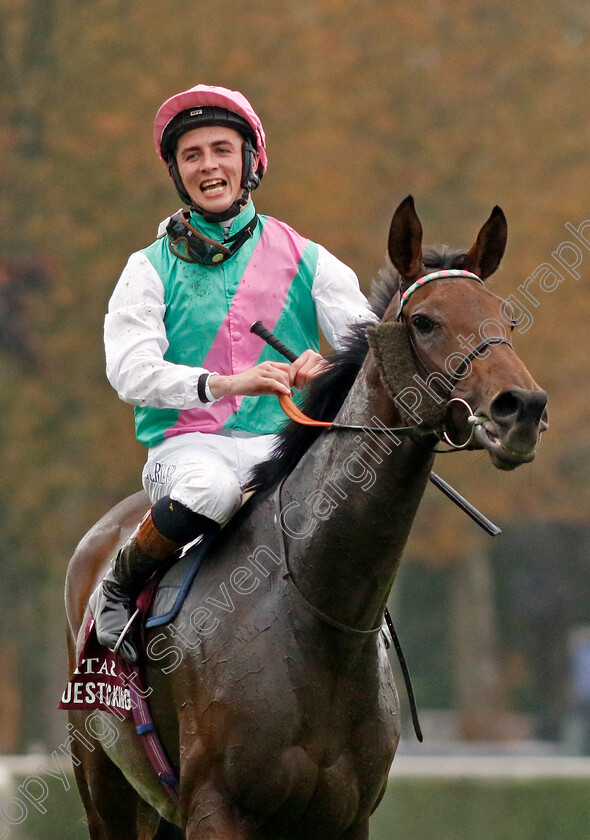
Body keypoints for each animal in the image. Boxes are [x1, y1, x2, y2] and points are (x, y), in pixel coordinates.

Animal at [65, 197, 552, 840]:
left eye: (506, 318)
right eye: (425, 321)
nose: (522, 408)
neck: (317, 611)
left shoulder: (348, 817)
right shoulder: (216, 806)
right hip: (103, 786)